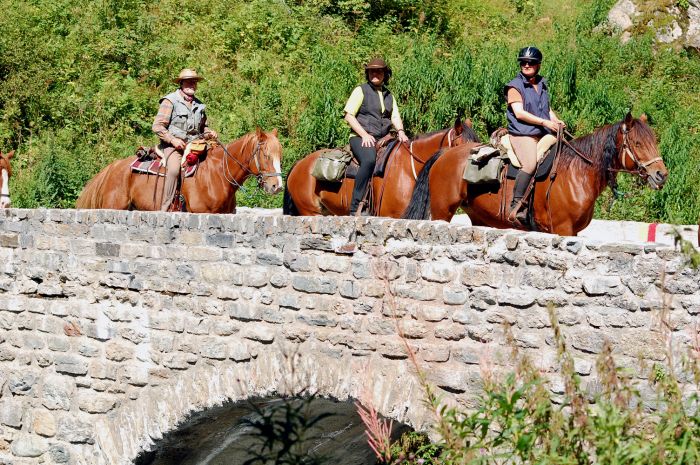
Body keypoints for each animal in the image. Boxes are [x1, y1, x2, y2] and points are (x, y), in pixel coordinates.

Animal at [404, 112, 668, 236]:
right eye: (637, 143)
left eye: (654, 141)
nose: (661, 175)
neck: (577, 172)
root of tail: (444, 154)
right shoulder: (563, 230)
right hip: (442, 213)